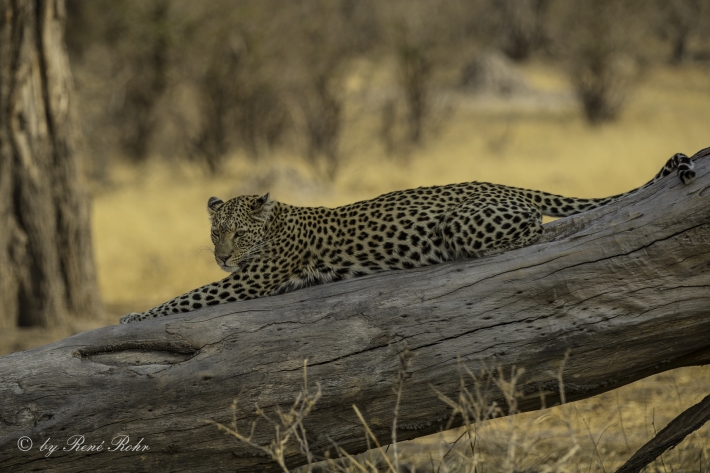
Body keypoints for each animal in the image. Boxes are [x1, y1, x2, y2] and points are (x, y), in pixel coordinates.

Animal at [120, 152, 696, 324]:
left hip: (462, 223)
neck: (277, 222)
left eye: (238, 235)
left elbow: (187, 297)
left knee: (535, 230)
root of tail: (503, 182)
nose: (221, 257)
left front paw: (134, 317)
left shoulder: (251, 280)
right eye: (214, 234)